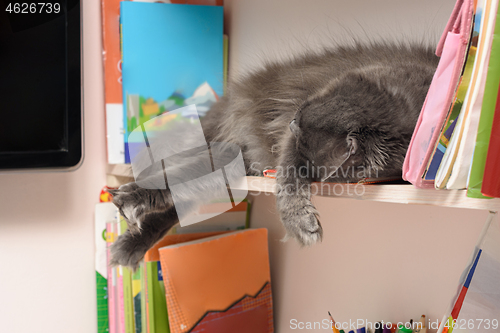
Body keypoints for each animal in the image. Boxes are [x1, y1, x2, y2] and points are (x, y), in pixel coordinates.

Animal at [109, 42, 438, 270]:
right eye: (301, 112)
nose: (291, 121)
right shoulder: (289, 145)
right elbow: (290, 178)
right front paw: (301, 222)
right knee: (174, 177)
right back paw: (128, 209)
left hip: (230, 166)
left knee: (183, 191)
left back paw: (128, 242)